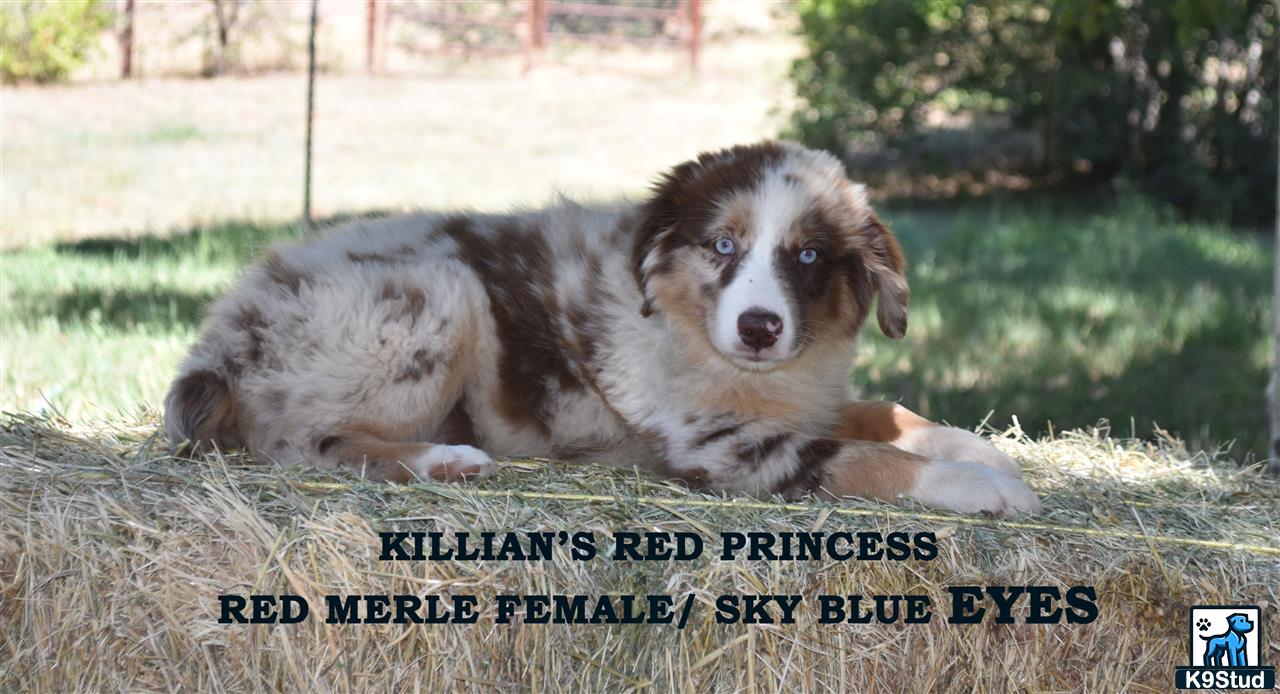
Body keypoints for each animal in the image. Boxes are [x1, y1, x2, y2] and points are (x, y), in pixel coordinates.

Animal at [165, 142, 1039, 517]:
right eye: (722, 246)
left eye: (809, 256)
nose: (759, 328)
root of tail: (222, 336)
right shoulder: (724, 446)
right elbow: (860, 456)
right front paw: (983, 487)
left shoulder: (804, 393)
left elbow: (882, 412)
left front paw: (977, 448)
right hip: (437, 295)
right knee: (304, 441)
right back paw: (445, 460)